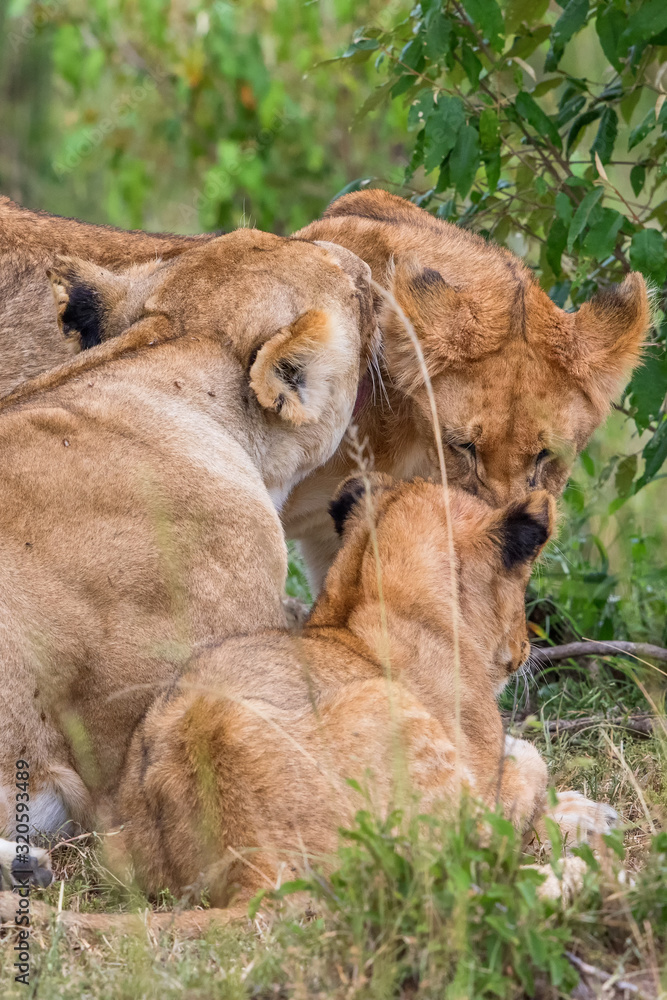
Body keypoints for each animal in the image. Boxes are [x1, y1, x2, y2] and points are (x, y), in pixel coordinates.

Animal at [4, 475, 613, 906]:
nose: (526, 648)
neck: (362, 605)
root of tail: (253, 865)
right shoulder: (477, 777)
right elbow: (527, 771)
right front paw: (581, 810)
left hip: (115, 838)